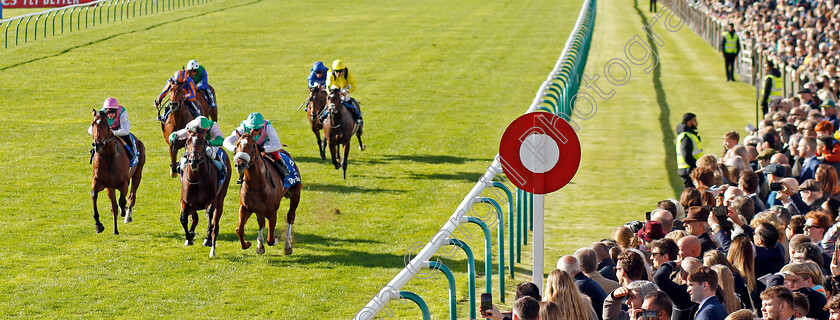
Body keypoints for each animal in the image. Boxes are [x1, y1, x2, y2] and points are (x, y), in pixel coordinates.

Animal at [177, 130, 230, 258]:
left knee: (215, 220)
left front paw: (208, 239)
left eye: (203, 142)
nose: (193, 161)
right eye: (187, 141)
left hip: (221, 198)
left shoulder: (212, 200)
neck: (197, 180)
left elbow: (209, 217)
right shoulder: (185, 201)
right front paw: (189, 238)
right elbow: (183, 218)